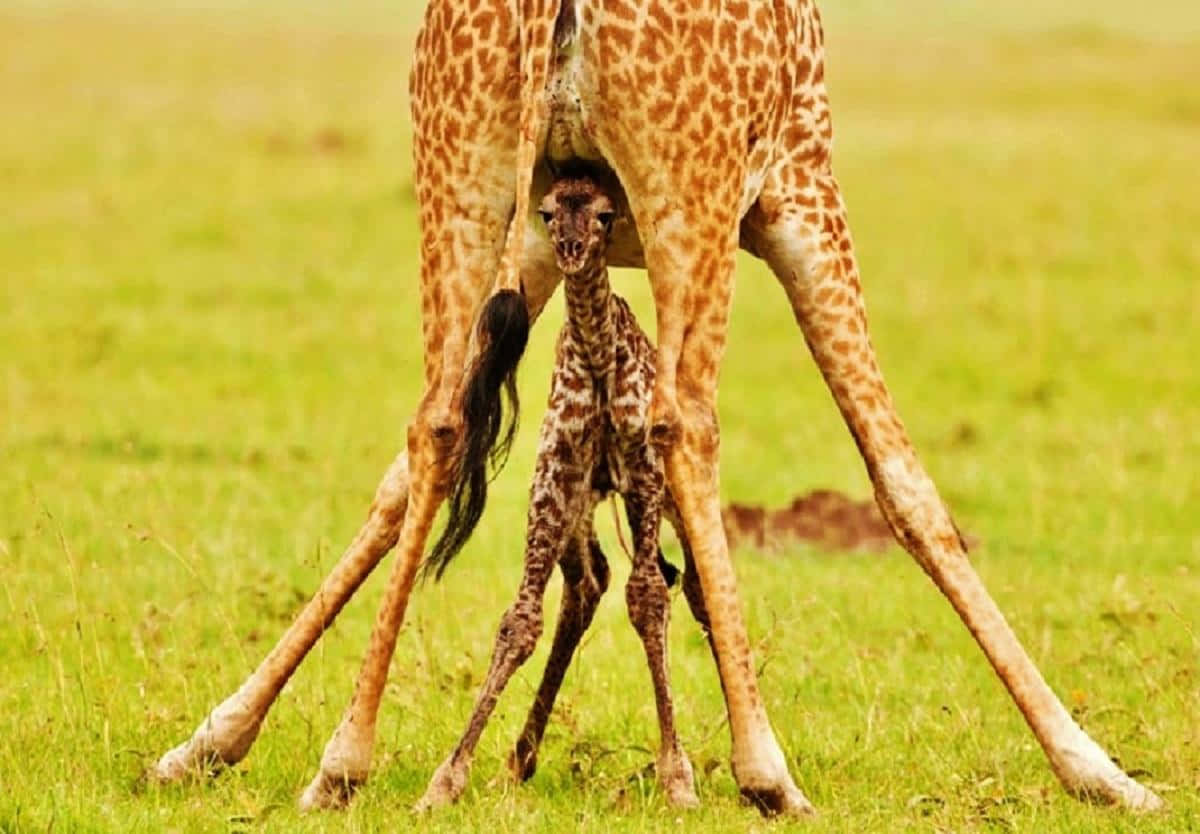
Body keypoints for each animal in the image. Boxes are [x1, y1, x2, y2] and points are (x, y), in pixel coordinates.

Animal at [416, 172, 706, 811]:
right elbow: (520, 619)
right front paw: (446, 778)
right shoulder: (556, 474)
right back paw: (519, 758)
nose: (572, 250)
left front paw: (677, 775)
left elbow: (650, 597)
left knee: (694, 587)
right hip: (580, 506)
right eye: (547, 213)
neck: (598, 360)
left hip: (667, 496)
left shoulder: (644, 474)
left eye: (604, 215)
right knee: (589, 582)